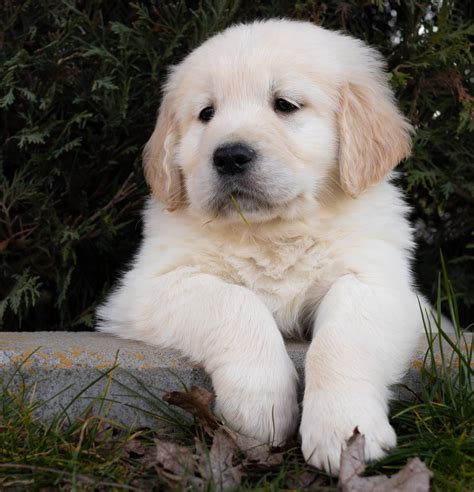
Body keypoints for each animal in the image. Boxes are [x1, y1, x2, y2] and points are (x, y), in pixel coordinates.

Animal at [96, 21, 422, 474]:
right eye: (206, 113)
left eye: (284, 105)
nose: (230, 156)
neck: (270, 231)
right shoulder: (149, 287)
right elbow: (234, 302)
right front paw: (262, 406)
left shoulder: (379, 284)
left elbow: (345, 333)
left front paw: (344, 427)